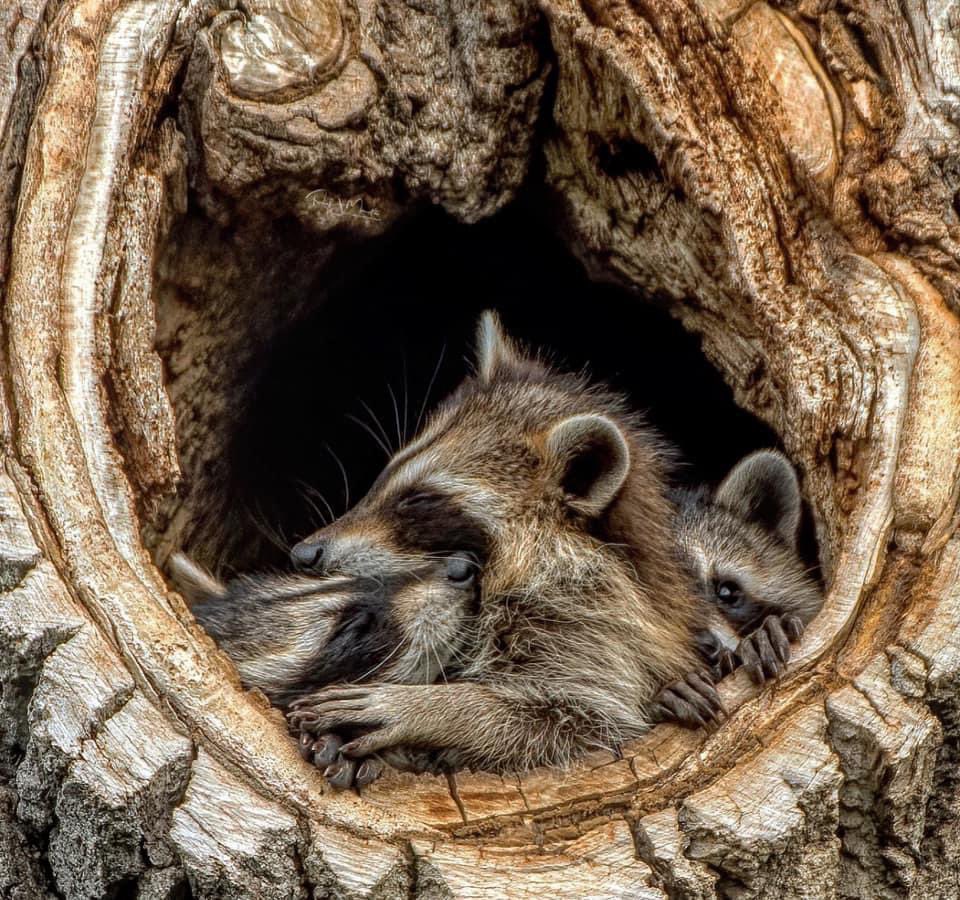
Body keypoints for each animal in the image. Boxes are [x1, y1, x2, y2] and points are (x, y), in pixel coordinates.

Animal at [286, 311, 722, 782]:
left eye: (418, 500)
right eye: (384, 475)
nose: (304, 554)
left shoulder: (590, 628)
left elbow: (577, 720)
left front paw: (430, 708)